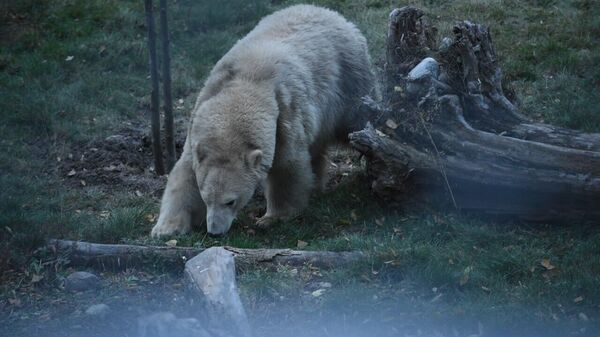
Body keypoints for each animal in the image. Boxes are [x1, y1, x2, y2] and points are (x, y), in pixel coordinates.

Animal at [150, 5, 378, 236]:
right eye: (206, 199)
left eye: (231, 201)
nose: (215, 230)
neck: (244, 84)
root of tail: (331, 13)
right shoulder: (199, 120)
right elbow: (184, 173)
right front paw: (166, 228)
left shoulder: (285, 115)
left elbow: (287, 166)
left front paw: (271, 218)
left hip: (349, 81)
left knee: (357, 120)